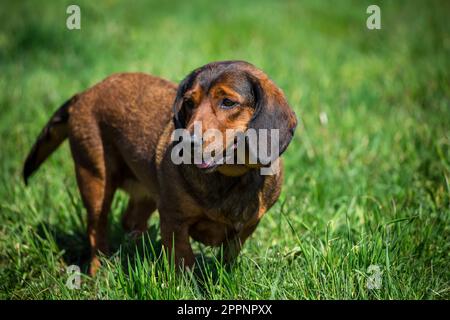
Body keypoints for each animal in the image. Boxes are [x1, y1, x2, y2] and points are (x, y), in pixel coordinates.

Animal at [24, 60, 298, 276]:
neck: (230, 175)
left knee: (130, 219)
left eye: (228, 102)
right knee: (96, 230)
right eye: (189, 102)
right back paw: (99, 271)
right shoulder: (174, 221)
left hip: (147, 192)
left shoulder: (247, 227)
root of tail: (85, 93)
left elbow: (229, 255)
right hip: (95, 180)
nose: (187, 142)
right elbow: (184, 262)